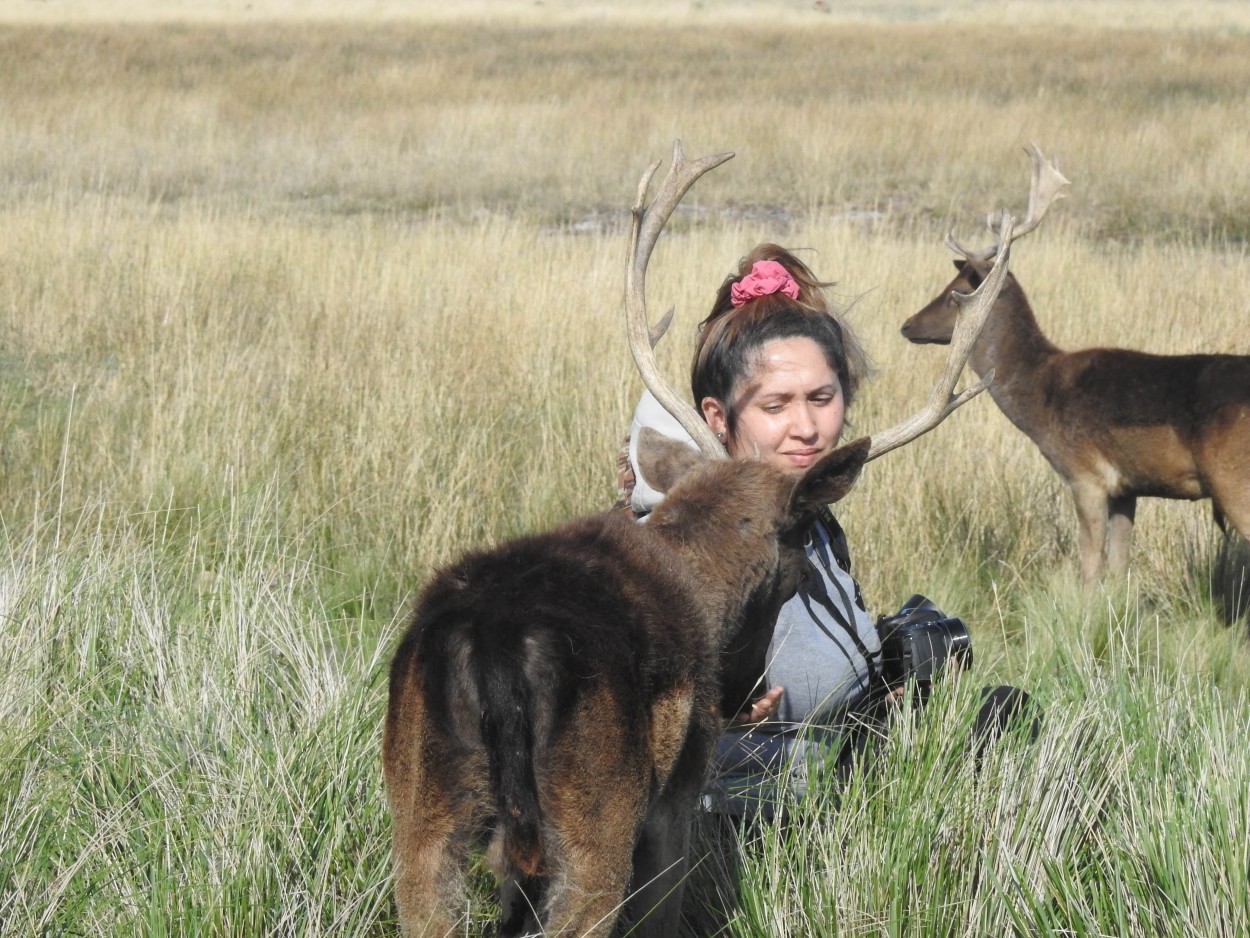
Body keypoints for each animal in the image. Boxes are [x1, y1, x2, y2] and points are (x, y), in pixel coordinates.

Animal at [382, 141, 1025, 938]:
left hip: (420, 813)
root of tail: (494, 652)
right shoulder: (674, 796)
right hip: (593, 818)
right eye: (789, 575)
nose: (745, 691)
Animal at [905, 143, 1245, 585]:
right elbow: (1118, 569)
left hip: (1234, 479)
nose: (907, 325)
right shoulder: (1126, 489)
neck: (1040, 397)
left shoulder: (1085, 475)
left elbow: (1089, 568)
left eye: (955, 293)